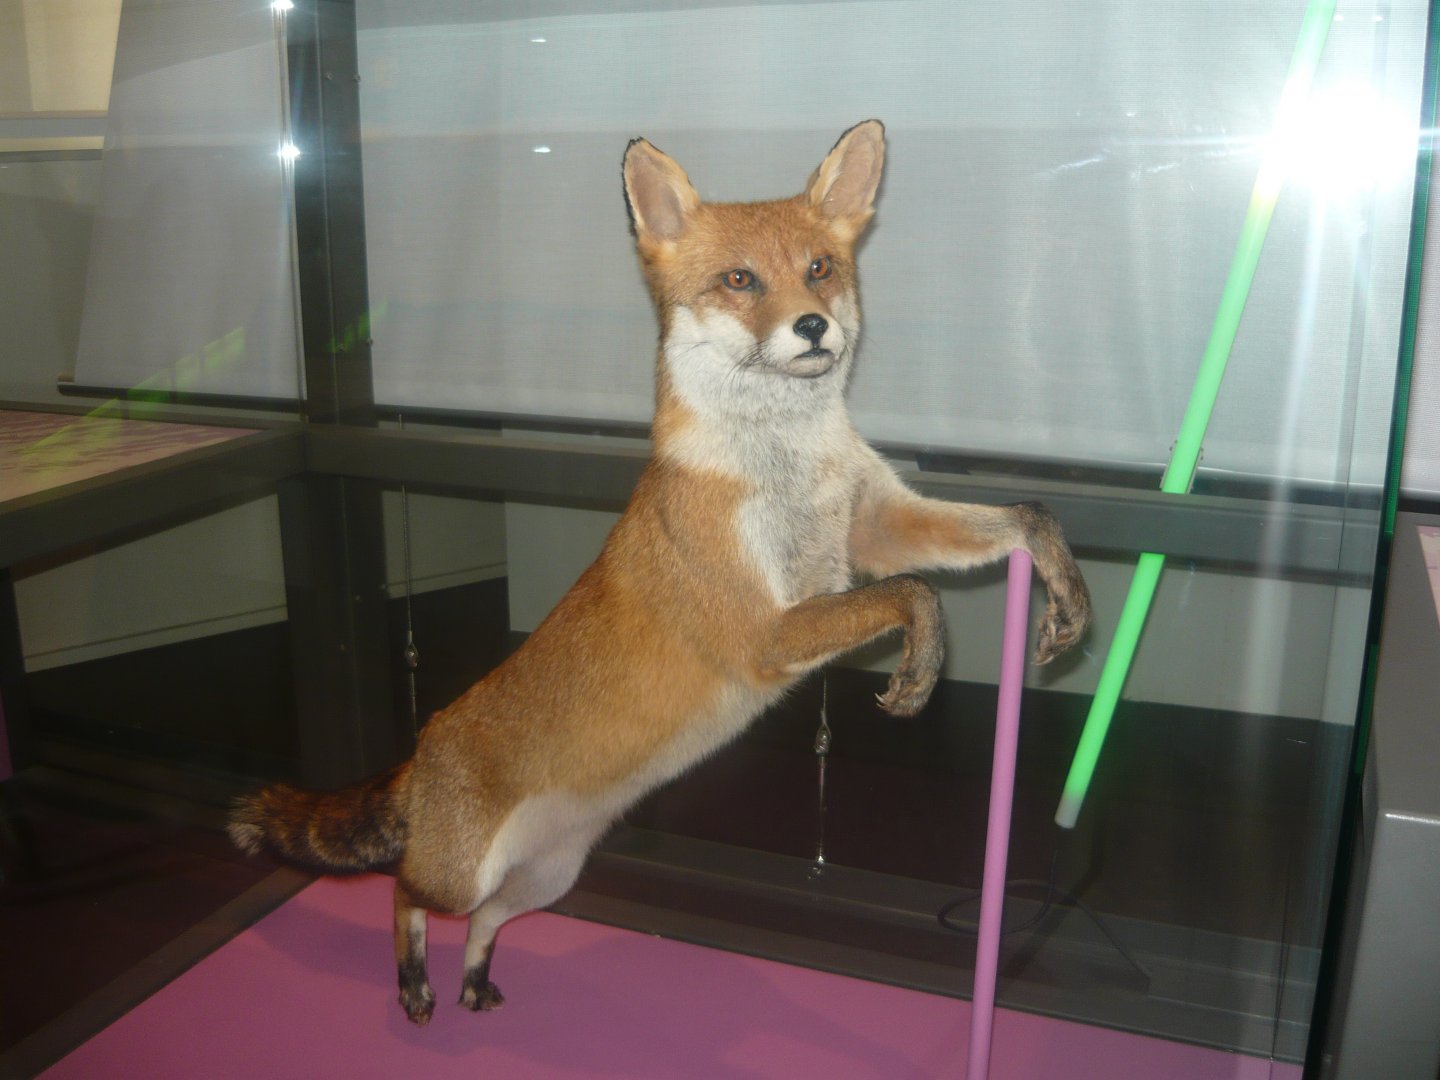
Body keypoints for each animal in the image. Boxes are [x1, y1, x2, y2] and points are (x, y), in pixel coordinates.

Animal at [228, 119, 1091, 1026]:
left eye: (820, 268)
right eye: (741, 280)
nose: (813, 326)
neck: (788, 466)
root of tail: (422, 746)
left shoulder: (877, 526)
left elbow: (1022, 521)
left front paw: (1063, 589)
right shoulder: (767, 628)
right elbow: (915, 594)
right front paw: (922, 667)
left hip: (546, 877)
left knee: (483, 920)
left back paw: (470, 978)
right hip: (461, 875)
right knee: (400, 891)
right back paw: (413, 982)